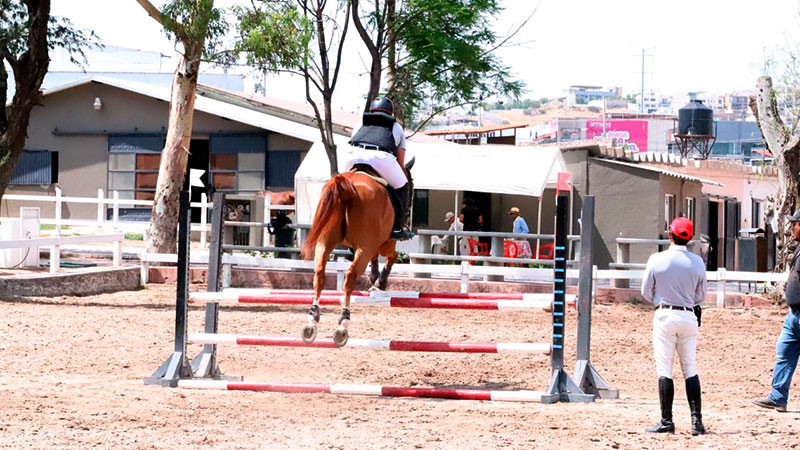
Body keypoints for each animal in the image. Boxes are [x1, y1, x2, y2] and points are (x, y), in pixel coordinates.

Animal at [298, 167, 404, 346]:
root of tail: (344, 186)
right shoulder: (384, 243)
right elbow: (392, 256)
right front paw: (380, 282)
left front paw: (375, 278)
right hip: (366, 246)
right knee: (350, 277)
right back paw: (343, 324)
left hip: (325, 241)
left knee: (319, 273)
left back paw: (312, 321)